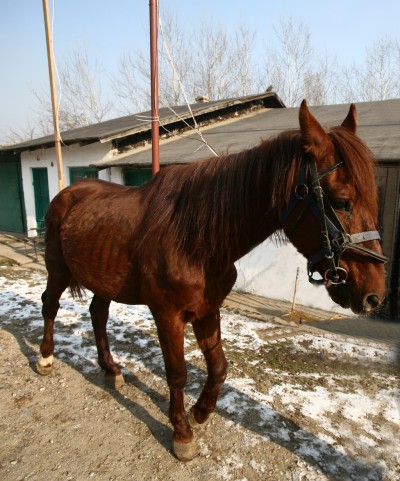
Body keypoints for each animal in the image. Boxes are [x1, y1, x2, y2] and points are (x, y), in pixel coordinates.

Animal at [37, 99, 388, 460]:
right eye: (342, 202)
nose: (374, 295)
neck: (194, 238)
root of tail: (68, 193)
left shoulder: (207, 310)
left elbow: (219, 367)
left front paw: (200, 412)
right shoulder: (167, 315)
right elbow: (177, 373)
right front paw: (182, 433)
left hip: (102, 276)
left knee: (98, 314)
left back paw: (111, 369)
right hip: (58, 269)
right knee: (50, 305)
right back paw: (45, 357)